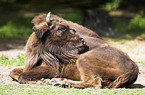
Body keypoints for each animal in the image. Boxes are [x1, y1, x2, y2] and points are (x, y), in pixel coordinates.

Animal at [9, 12, 139, 88]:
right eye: (60, 29)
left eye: (72, 30)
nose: (82, 42)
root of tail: (134, 68)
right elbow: (13, 72)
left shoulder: (53, 69)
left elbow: (22, 77)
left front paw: (44, 81)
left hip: (83, 59)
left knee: (94, 83)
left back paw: (60, 82)